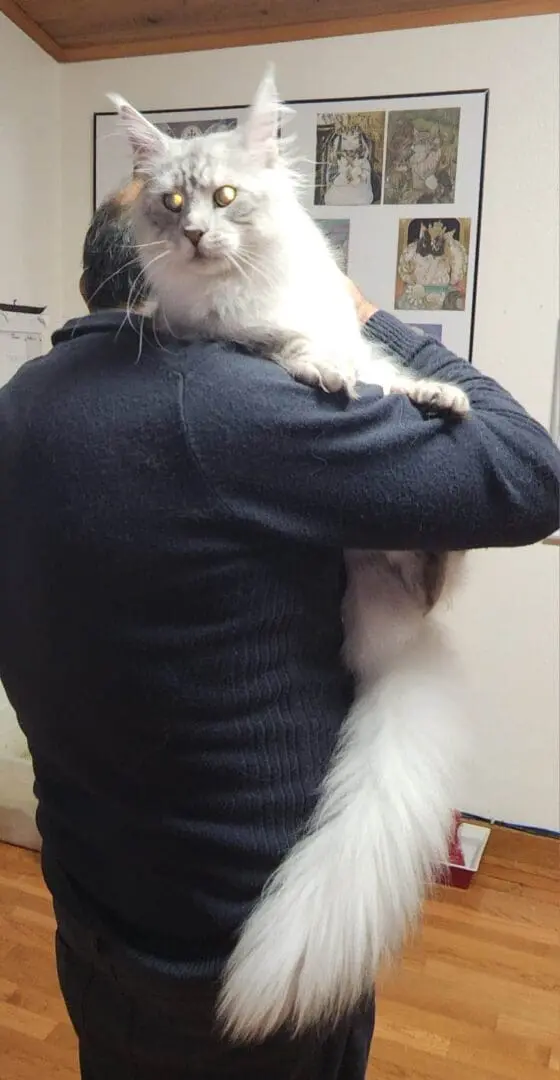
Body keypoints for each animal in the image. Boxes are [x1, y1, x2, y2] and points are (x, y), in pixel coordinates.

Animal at [111, 69, 466, 1045]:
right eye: (172, 203)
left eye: (227, 198)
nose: (196, 234)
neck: (251, 288)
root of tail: (398, 641)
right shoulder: (232, 338)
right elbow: (299, 353)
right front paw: (329, 381)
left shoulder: (343, 326)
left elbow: (381, 368)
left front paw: (434, 394)